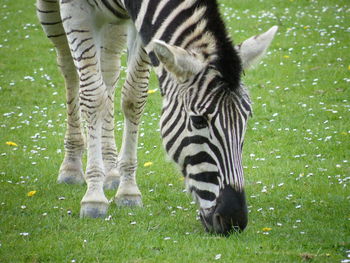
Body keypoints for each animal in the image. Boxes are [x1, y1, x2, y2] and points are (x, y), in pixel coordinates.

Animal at [37, 0, 278, 236]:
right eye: (198, 120)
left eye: (246, 119)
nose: (233, 220)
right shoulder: (76, 10)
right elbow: (94, 98)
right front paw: (94, 198)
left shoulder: (141, 23)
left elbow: (133, 96)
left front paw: (128, 191)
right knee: (69, 67)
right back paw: (72, 166)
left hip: (114, 21)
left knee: (109, 70)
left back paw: (111, 171)